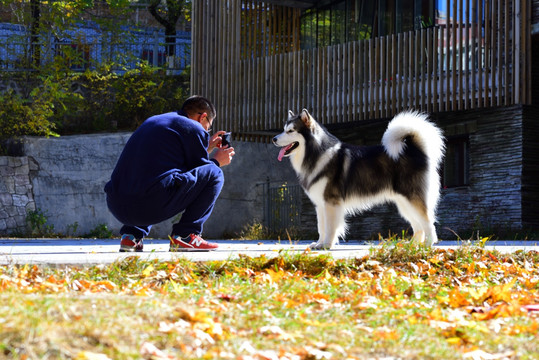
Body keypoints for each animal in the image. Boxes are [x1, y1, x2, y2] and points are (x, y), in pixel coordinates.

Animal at [274, 109, 448, 250]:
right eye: (284, 130)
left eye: (290, 131)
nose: (274, 139)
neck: (315, 154)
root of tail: (414, 150)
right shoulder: (320, 205)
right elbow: (321, 227)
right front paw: (319, 243)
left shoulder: (331, 203)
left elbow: (330, 227)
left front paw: (327, 245)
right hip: (404, 203)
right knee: (418, 225)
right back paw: (412, 245)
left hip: (412, 198)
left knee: (428, 222)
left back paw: (427, 245)